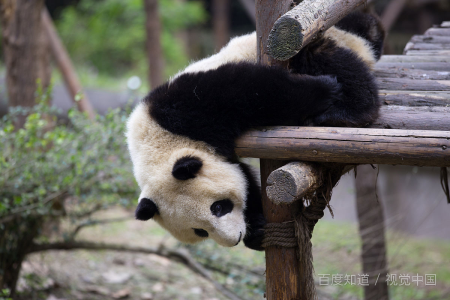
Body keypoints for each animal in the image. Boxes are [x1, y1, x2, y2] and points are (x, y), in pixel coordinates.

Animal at [125, 11, 384, 251]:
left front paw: (323, 89)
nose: (235, 238)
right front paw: (257, 231)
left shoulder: (187, 108)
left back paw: (346, 111)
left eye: (218, 207)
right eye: (200, 231)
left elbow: (254, 90)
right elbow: (246, 179)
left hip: (315, 44)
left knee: (335, 61)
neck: (158, 143)